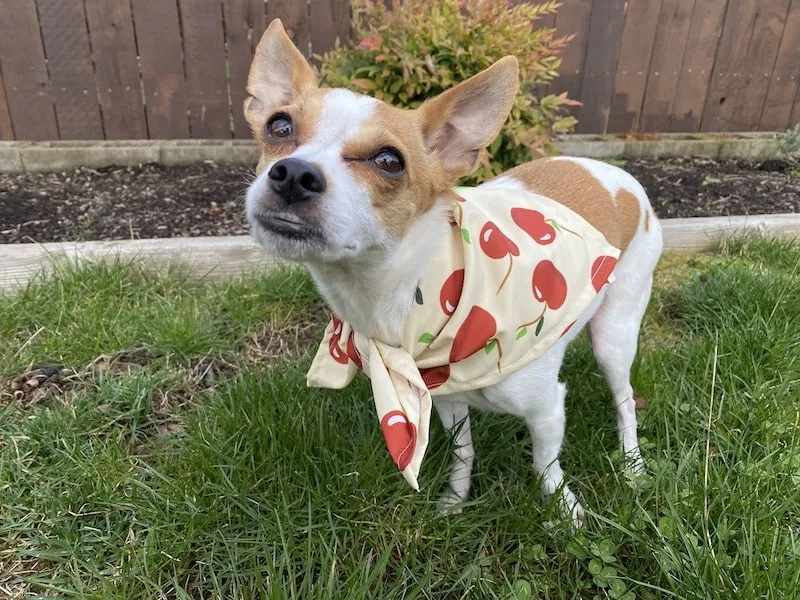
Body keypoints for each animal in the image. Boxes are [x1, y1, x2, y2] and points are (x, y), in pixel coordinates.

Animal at [244, 18, 664, 524]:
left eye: (390, 161)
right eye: (279, 126)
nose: (293, 174)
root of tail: (618, 175)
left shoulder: (547, 411)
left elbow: (546, 466)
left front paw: (566, 511)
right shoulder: (445, 401)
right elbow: (464, 451)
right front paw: (455, 499)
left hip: (615, 336)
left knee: (625, 401)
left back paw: (633, 463)